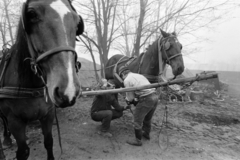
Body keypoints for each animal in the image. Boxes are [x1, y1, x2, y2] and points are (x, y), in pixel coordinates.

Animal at [0, 0, 83, 159]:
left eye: (77, 23)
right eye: (32, 14)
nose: (68, 91)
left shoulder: (48, 115)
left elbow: (49, 142)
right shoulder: (15, 121)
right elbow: (23, 151)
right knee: (3, 120)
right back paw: (6, 139)